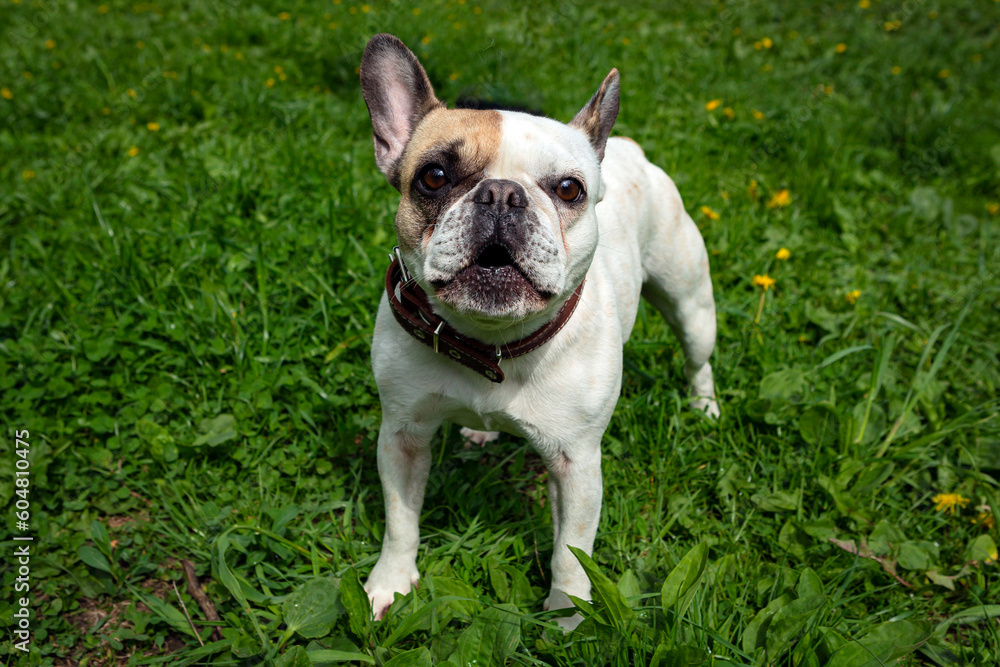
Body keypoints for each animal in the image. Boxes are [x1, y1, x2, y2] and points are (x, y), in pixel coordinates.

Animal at [360, 34, 720, 628]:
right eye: (433, 177)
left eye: (569, 189)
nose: (503, 194)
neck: (492, 343)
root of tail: (627, 147)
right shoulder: (402, 436)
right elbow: (400, 521)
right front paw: (389, 582)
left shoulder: (577, 464)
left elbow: (572, 552)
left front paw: (568, 615)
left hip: (690, 301)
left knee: (698, 356)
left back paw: (704, 406)